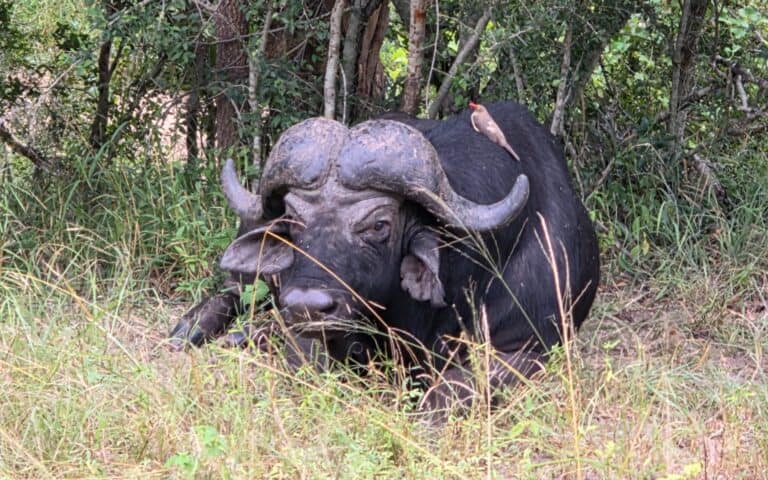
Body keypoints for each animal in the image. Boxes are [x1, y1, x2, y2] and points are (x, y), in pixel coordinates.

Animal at [169, 101, 600, 411]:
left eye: (379, 224)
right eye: (292, 216)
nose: (307, 305)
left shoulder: (524, 347)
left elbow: (443, 398)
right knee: (233, 292)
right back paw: (193, 330)